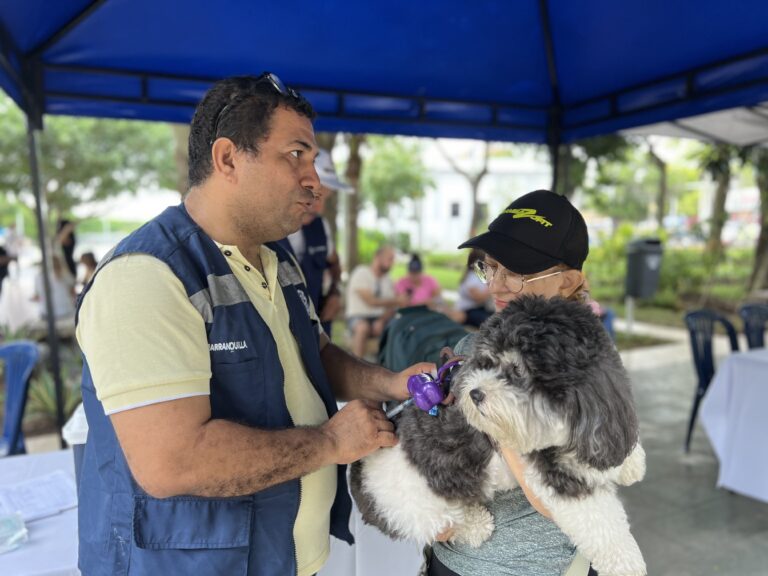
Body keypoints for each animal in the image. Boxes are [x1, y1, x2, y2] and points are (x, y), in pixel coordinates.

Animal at [352, 294, 644, 576]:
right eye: (487, 362)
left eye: (517, 370)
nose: (475, 394)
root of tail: (358, 477)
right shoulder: (552, 476)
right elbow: (601, 524)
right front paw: (628, 565)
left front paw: (632, 464)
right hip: (415, 508)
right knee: (446, 521)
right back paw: (477, 525)